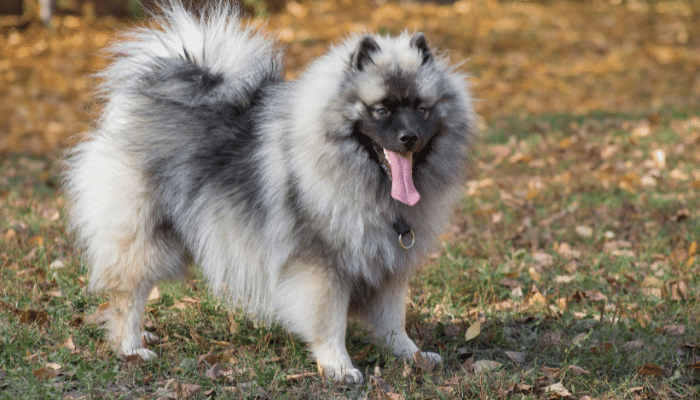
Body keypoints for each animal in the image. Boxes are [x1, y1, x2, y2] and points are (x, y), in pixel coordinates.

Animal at [64, 0, 476, 384]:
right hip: (148, 238)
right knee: (127, 295)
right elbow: (330, 322)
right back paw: (131, 347)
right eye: (381, 110)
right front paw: (339, 365)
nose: (409, 138)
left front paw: (412, 355)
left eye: (422, 109)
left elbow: (393, 319)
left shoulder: (388, 261)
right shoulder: (321, 266)